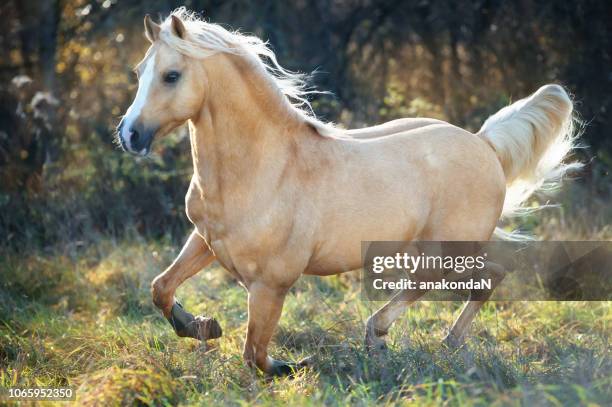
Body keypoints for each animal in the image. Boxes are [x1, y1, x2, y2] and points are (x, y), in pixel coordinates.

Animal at [115, 9, 580, 378]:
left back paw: (381, 336)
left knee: (455, 280)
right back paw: (444, 343)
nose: (129, 135)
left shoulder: (271, 284)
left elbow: (255, 355)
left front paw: (290, 366)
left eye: (171, 75)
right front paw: (202, 326)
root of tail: (484, 144)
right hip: (430, 248)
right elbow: (160, 288)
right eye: (139, 72)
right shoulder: (206, 240)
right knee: (486, 278)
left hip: (446, 249)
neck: (264, 167)